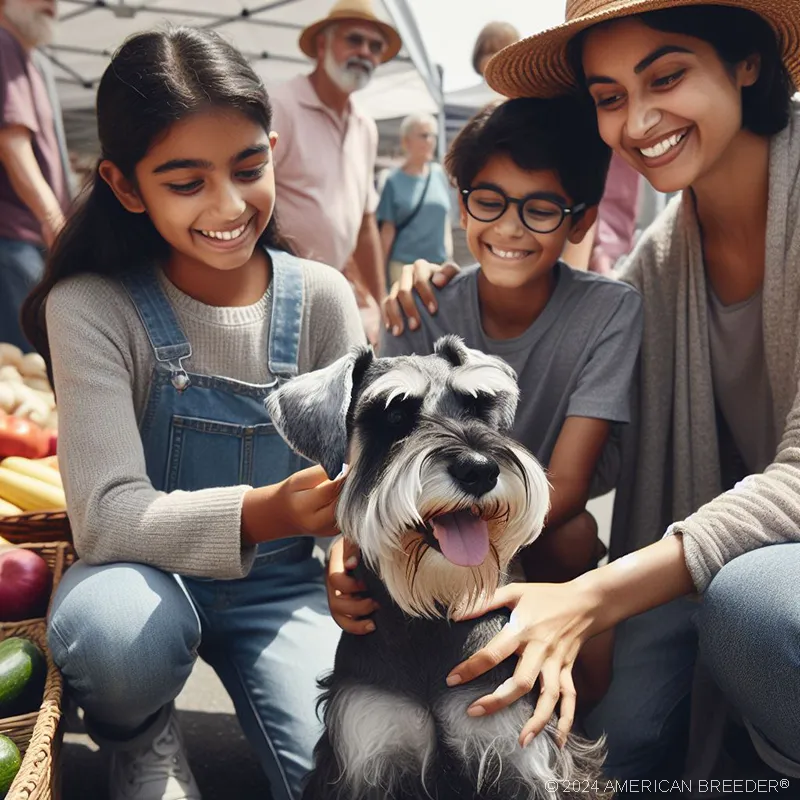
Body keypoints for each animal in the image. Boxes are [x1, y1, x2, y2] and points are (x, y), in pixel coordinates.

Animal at [266, 338, 604, 800]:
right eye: (393, 414)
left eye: (478, 405)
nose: (479, 469)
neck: (433, 614)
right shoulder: (366, 757)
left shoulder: (523, 757)